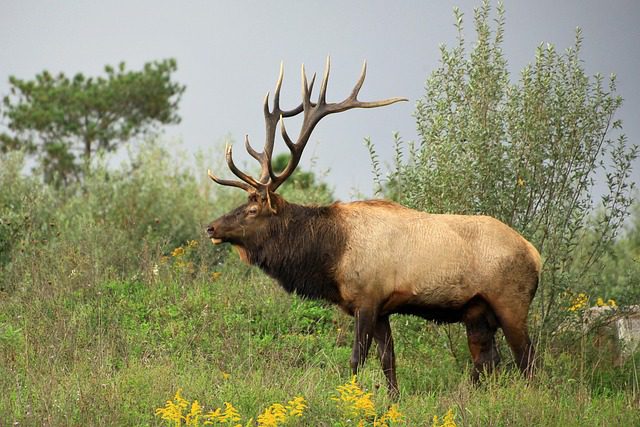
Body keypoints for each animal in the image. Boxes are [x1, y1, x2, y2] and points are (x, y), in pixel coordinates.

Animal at [206, 58, 540, 397]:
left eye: (252, 210)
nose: (211, 227)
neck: (330, 255)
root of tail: (534, 254)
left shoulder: (367, 298)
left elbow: (357, 358)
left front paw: (349, 397)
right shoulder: (382, 309)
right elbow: (388, 359)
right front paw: (392, 400)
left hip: (511, 303)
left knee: (527, 360)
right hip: (477, 312)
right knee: (488, 359)